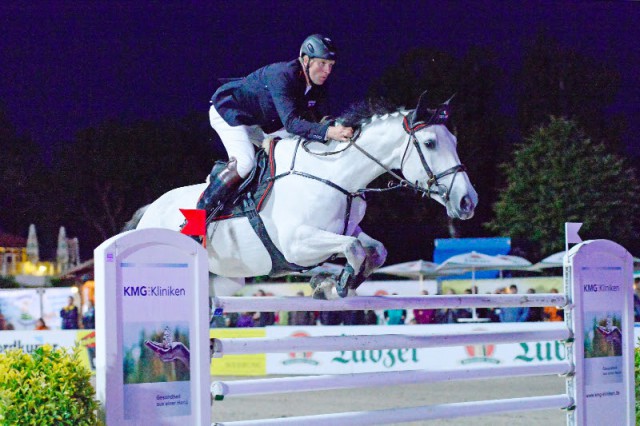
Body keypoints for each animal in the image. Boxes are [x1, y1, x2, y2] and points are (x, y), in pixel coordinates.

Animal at [130, 94, 478, 296]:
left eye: (455, 142)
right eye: (430, 143)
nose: (467, 201)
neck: (336, 175)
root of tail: (147, 213)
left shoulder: (347, 229)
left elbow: (375, 250)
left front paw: (334, 280)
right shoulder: (296, 243)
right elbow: (352, 248)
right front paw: (337, 283)